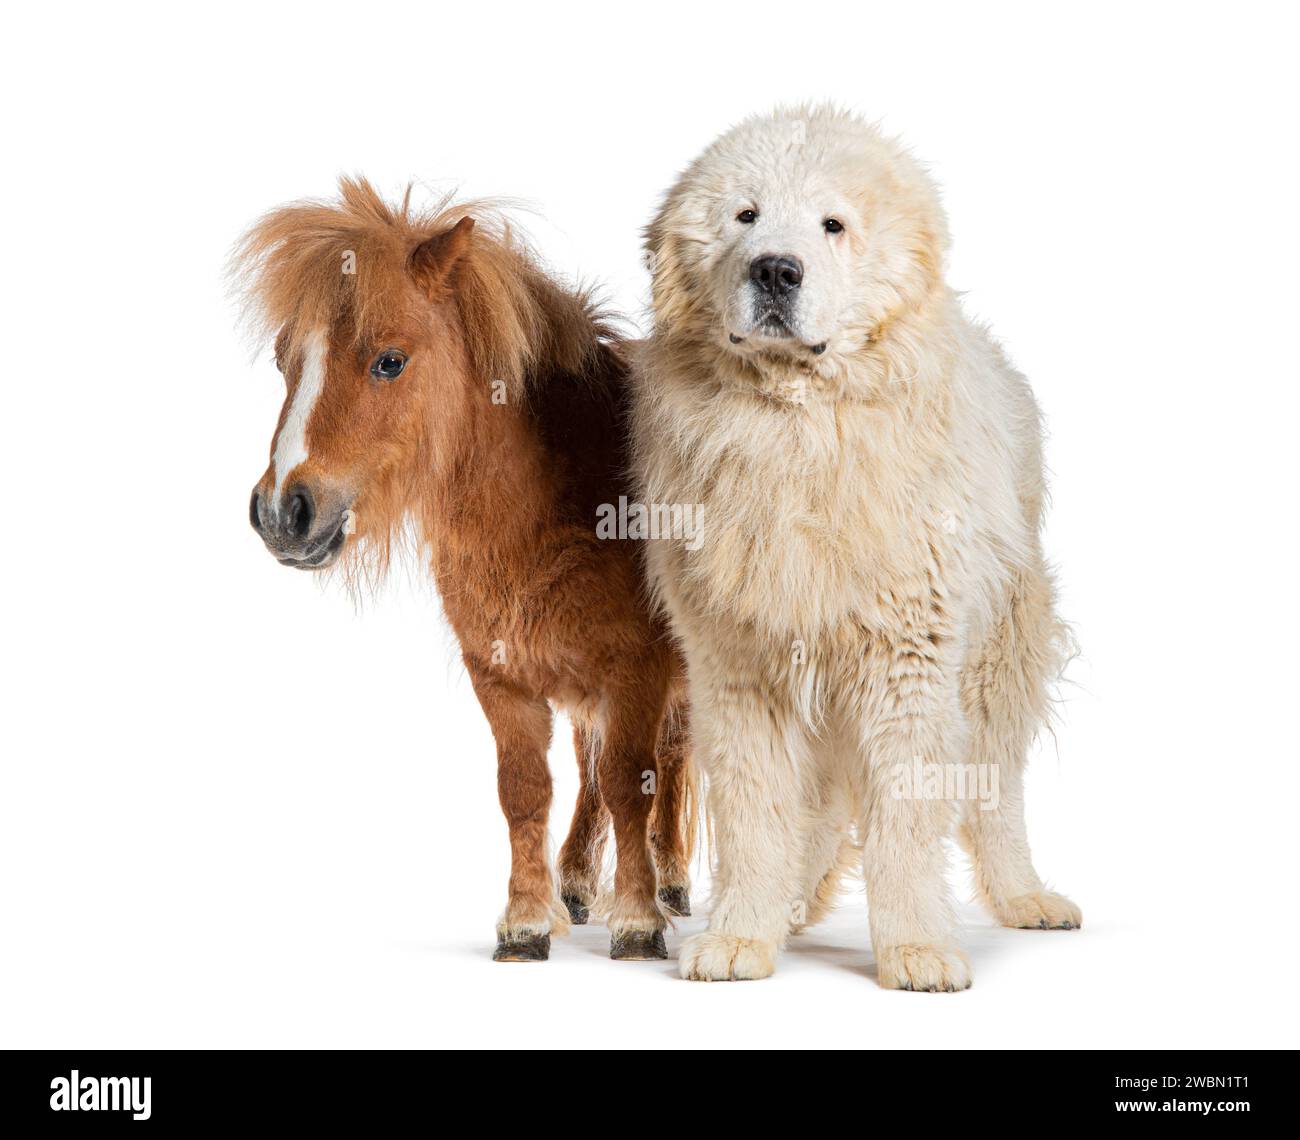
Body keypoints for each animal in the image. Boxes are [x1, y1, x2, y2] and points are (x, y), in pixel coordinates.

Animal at [233, 177, 692, 961]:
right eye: (284, 358)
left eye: (389, 360)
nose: (281, 511)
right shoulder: (501, 675)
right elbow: (525, 789)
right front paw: (528, 919)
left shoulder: (637, 669)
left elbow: (635, 783)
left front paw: (637, 920)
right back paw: (577, 880)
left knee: (673, 761)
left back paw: (672, 883)